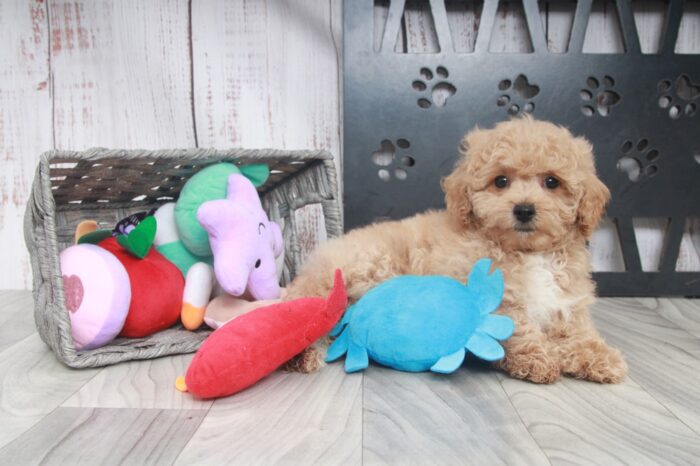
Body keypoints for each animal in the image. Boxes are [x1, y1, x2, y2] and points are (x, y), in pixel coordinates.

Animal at [284, 114, 628, 384]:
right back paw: (300, 354)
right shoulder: (493, 297)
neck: (529, 253)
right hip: (362, 269)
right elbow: (519, 328)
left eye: (552, 182)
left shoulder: (567, 304)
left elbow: (578, 332)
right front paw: (539, 358)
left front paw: (600, 357)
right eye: (501, 181)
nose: (524, 210)